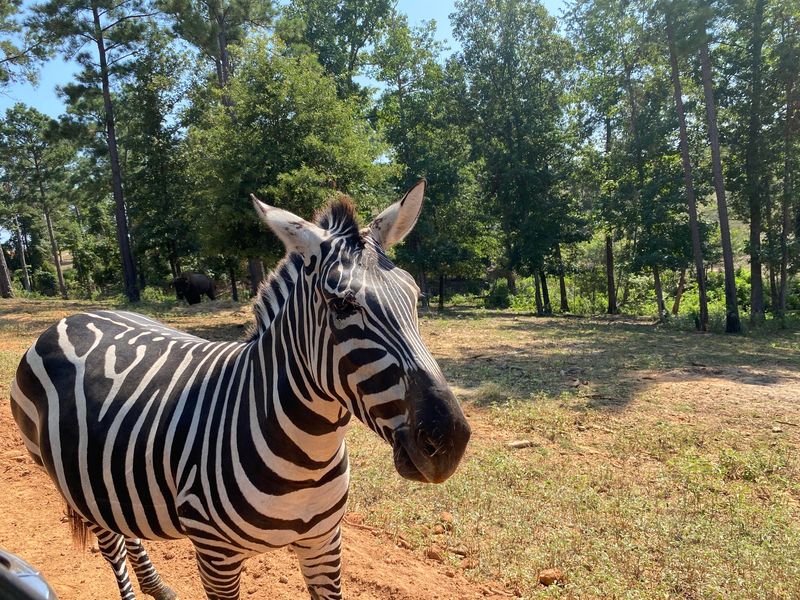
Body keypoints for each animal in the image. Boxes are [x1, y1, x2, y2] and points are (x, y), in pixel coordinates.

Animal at [9, 180, 471, 600]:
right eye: (341, 305)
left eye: (415, 296)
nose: (447, 441)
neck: (309, 456)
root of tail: (74, 316)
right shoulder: (216, 556)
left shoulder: (324, 542)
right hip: (68, 482)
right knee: (113, 547)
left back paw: (158, 587)